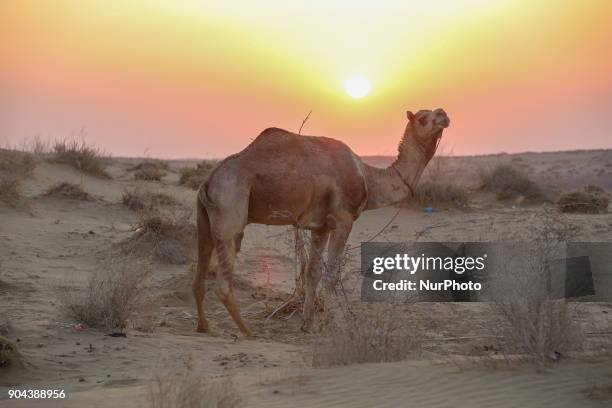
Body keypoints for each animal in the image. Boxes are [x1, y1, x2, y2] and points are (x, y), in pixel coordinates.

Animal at [195, 107, 450, 334]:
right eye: (422, 118)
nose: (443, 114)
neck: (368, 177)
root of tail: (208, 181)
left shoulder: (320, 227)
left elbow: (313, 272)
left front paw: (307, 325)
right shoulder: (343, 220)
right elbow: (331, 275)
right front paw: (332, 325)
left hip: (206, 219)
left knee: (200, 272)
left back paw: (204, 326)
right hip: (231, 208)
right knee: (223, 282)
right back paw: (248, 332)